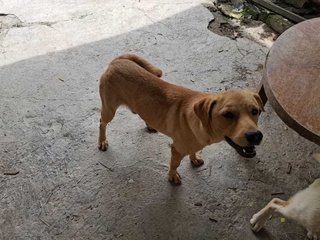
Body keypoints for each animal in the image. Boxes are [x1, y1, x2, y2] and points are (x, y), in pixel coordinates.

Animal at [99, 54, 264, 184]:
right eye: (228, 115)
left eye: (255, 111)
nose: (255, 135)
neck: (201, 125)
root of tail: (117, 61)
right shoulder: (177, 149)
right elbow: (174, 164)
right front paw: (172, 176)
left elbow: (193, 151)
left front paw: (194, 158)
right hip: (109, 110)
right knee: (102, 123)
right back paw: (102, 141)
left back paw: (150, 125)